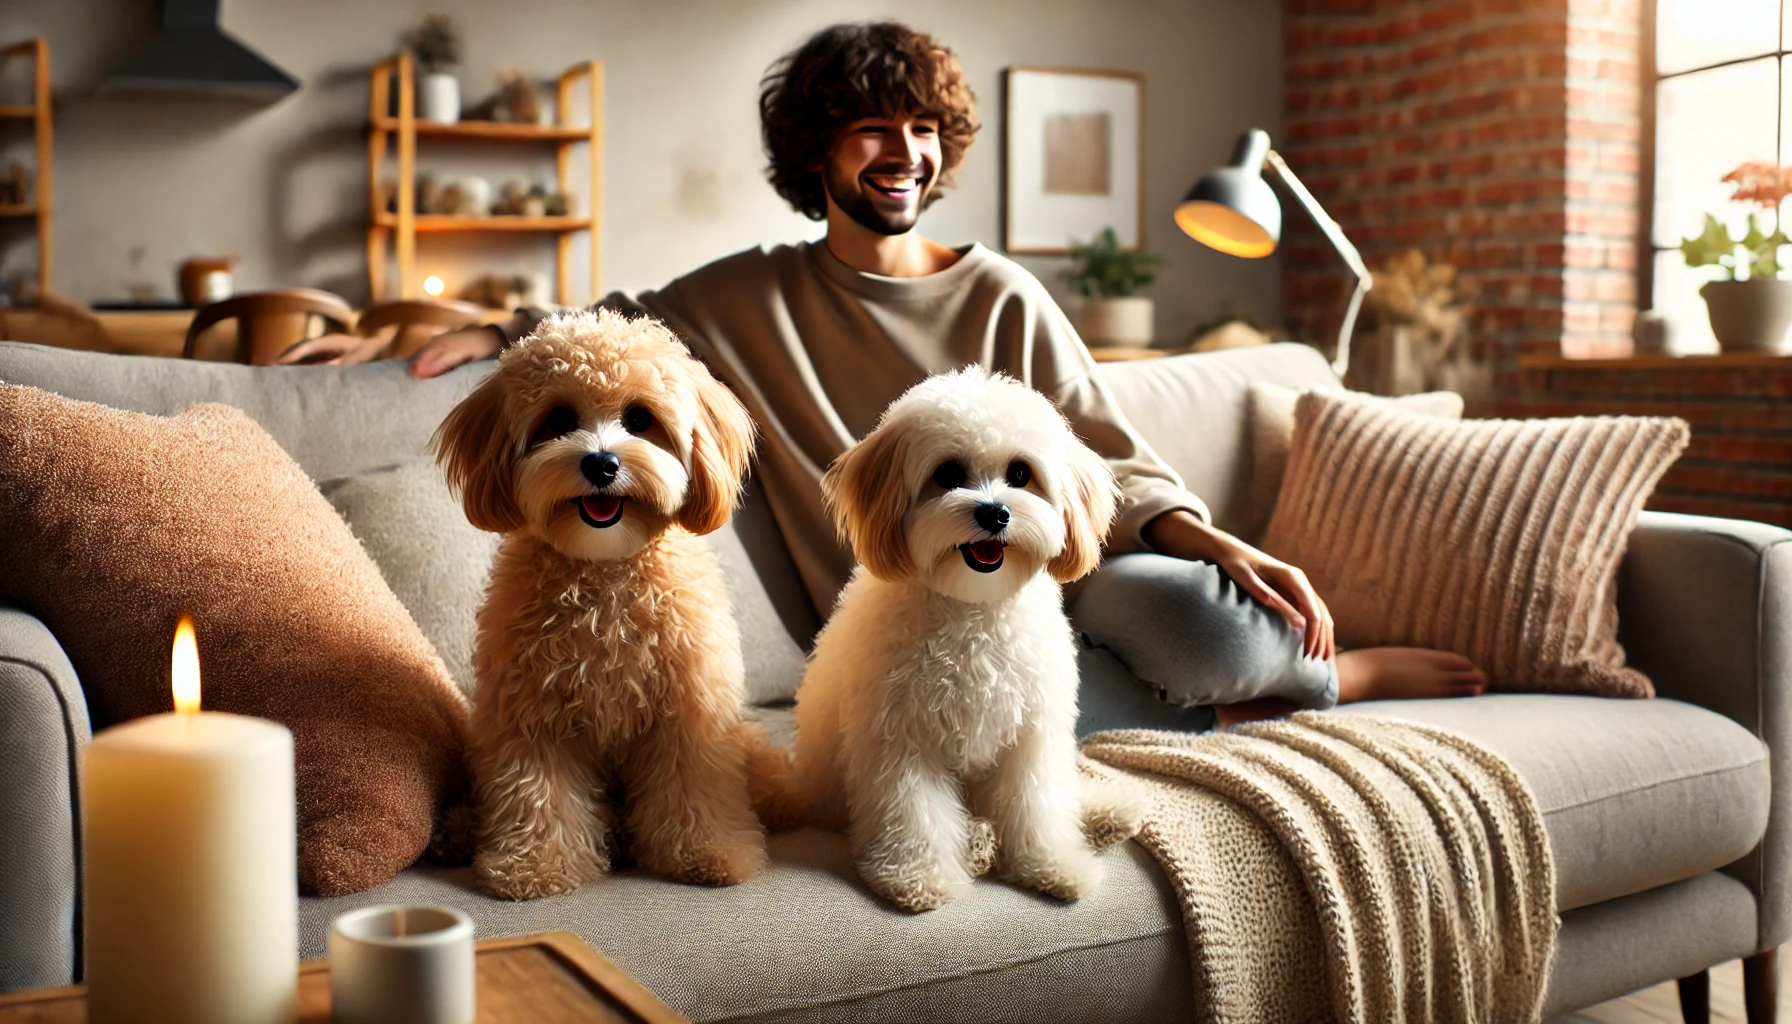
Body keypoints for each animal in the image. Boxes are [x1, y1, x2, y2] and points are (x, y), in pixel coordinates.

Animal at [788, 369, 1146, 914]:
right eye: (948, 473)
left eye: (1020, 474)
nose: (995, 513)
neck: (974, 608)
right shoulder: (900, 740)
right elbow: (915, 814)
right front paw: (920, 878)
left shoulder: (1031, 735)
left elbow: (1038, 805)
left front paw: (1052, 863)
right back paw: (976, 842)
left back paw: (1104, 812)